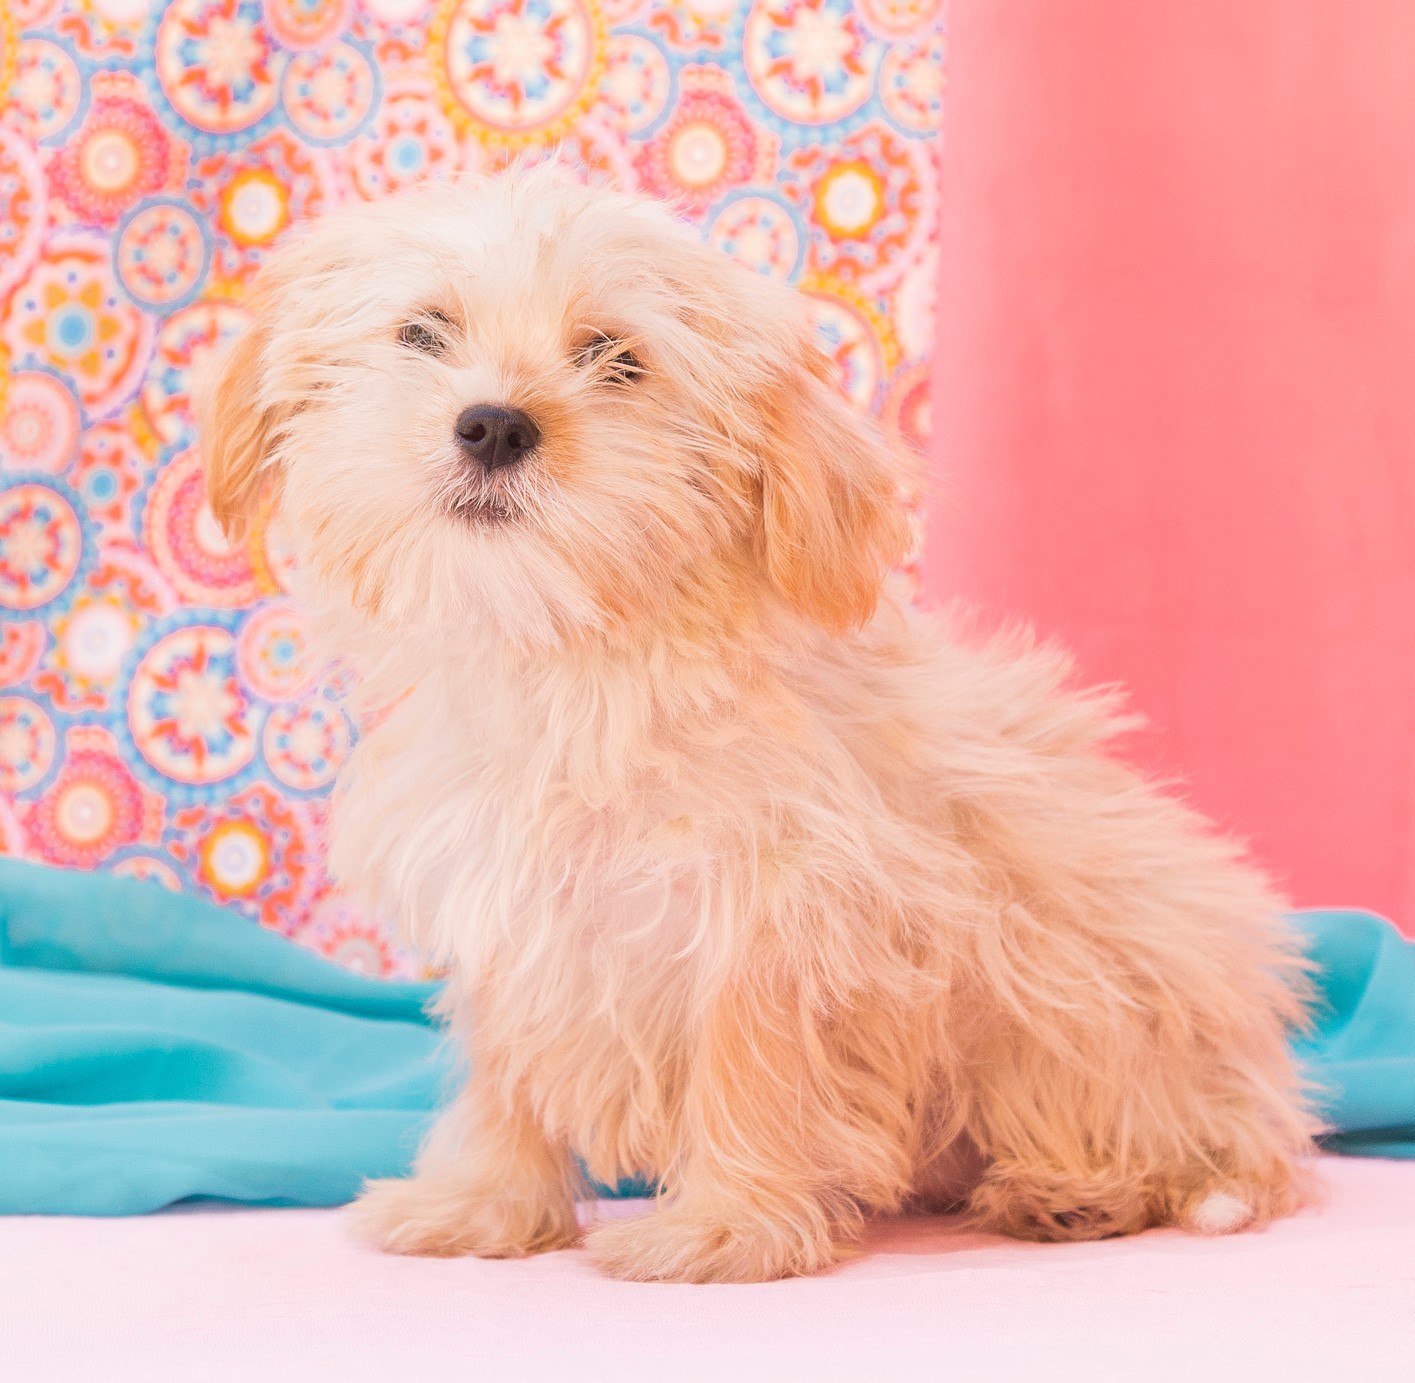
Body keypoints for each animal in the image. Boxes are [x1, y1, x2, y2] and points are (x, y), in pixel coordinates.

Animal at [199, 167, 1313, 1279]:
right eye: (422, 332)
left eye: (617, 359)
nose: (494, 425)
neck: (577, 666)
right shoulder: (510, 910)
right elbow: (506, 1075)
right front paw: (484, 1204)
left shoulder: (778, 912)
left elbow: (751, 1071)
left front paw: (725, 1227)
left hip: (1098, 989)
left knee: (1169, 1140)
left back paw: (1073, 1191)